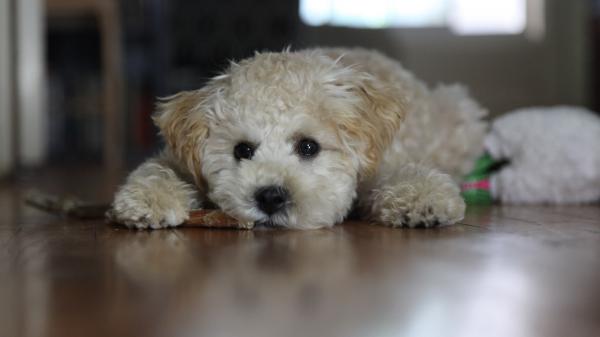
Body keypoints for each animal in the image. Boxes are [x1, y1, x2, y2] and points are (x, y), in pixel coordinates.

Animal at [111, 47, 488, 228]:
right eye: (242, 150)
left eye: (309, 146)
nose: (270, 197)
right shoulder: (178, 158)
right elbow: (158, 169)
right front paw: (145, 200)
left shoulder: (382, 157)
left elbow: (404, 173)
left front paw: (422, 199)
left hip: (459, 113)